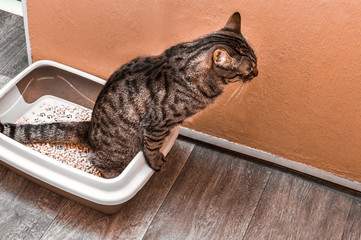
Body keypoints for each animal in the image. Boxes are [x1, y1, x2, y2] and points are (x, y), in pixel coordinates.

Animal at [1, 12, 258, 178]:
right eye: (249, 69)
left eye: (256, 63)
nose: (257, 73)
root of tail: (89, 129)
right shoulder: (157, 125)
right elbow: (152, 149)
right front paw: (156, 163)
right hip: (119, 150)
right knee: (97, 161)